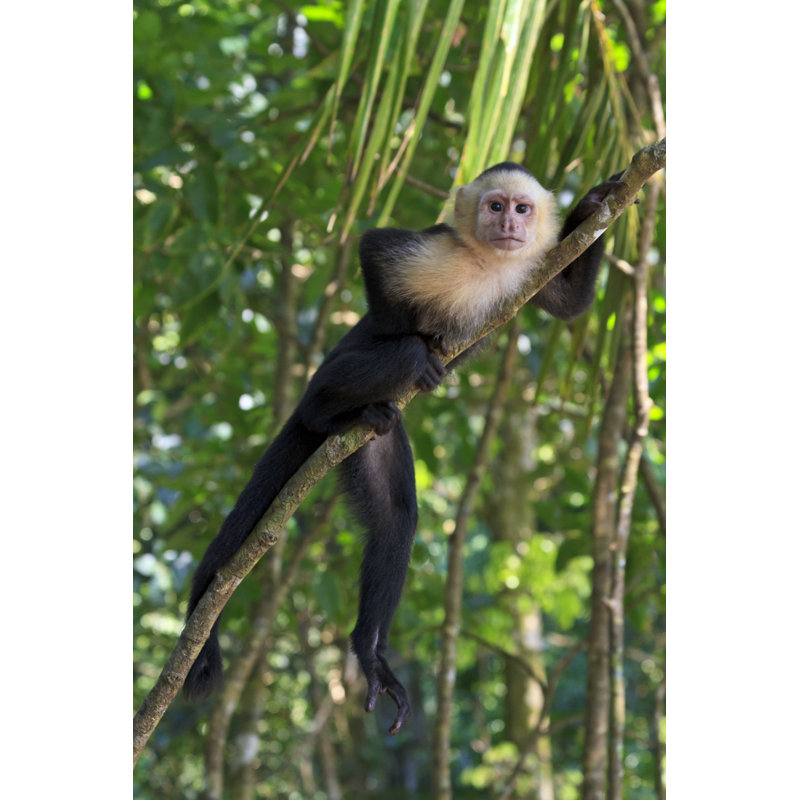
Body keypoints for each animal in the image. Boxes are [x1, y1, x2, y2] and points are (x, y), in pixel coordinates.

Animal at [183, 162, 625, 735]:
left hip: (378, 439)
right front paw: (417, 339)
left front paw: (591, 206)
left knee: (395, 520)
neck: (489, 262)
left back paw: (370, 654)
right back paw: (335, 407)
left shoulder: (534, 268)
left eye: (522, 208)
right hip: (332, 373)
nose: (508, 225)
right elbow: (374, 251)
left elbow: (570, 305)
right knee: (387, 361)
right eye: (495, 206)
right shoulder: (439, 251)